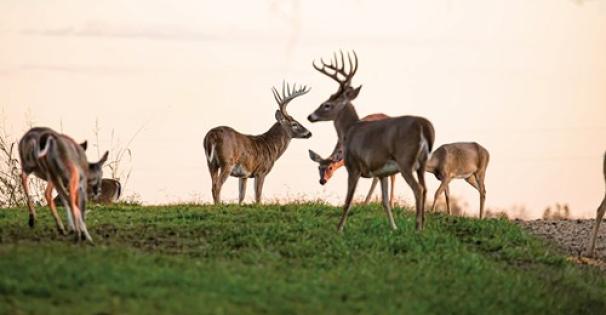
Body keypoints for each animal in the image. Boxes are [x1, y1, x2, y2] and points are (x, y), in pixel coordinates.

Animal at [308, 51, 436, 232]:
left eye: (326, 104)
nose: (310, 116)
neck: (349, 130)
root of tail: (425, 126)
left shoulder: (353, 166)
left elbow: (348, 201)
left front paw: (339, 228)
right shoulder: (382, 172)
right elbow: (384, 202)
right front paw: (394, 227)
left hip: (406, 160)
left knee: (418, 189)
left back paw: (417, 228)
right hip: (422, 164)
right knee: (425, 188)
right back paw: (423, 226)